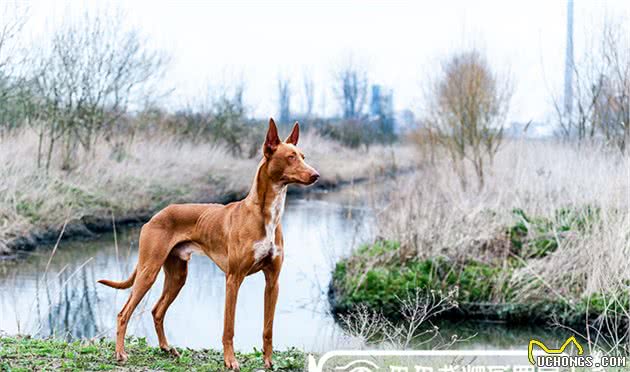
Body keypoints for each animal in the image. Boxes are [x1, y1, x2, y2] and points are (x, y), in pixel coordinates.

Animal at [99, 118, 320, 370]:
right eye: (291, 157)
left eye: (303, 155)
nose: (316, 175)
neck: (266, 216)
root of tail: (155, 215)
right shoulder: (233, 279)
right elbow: (228, 328)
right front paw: (230, 361)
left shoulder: (272, 281)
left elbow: (268, 329)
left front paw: (268, 362)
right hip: (149, 271)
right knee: (123, 313)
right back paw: (120, 353)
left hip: (177, 276)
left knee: (157, 311)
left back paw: (166, 348)